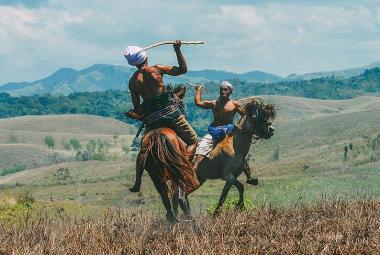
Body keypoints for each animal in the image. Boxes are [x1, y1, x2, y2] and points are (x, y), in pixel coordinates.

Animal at [137, 97, 276, 221]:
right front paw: (239, 206)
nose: (271, 130)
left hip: (197, 180)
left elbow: (224, 195)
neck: (235, 146)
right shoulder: (228, 176)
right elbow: (240, 187)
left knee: (177, 197)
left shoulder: (231, 178)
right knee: (179, 196)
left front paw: (218, 213)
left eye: (268, 116)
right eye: (256, 117)